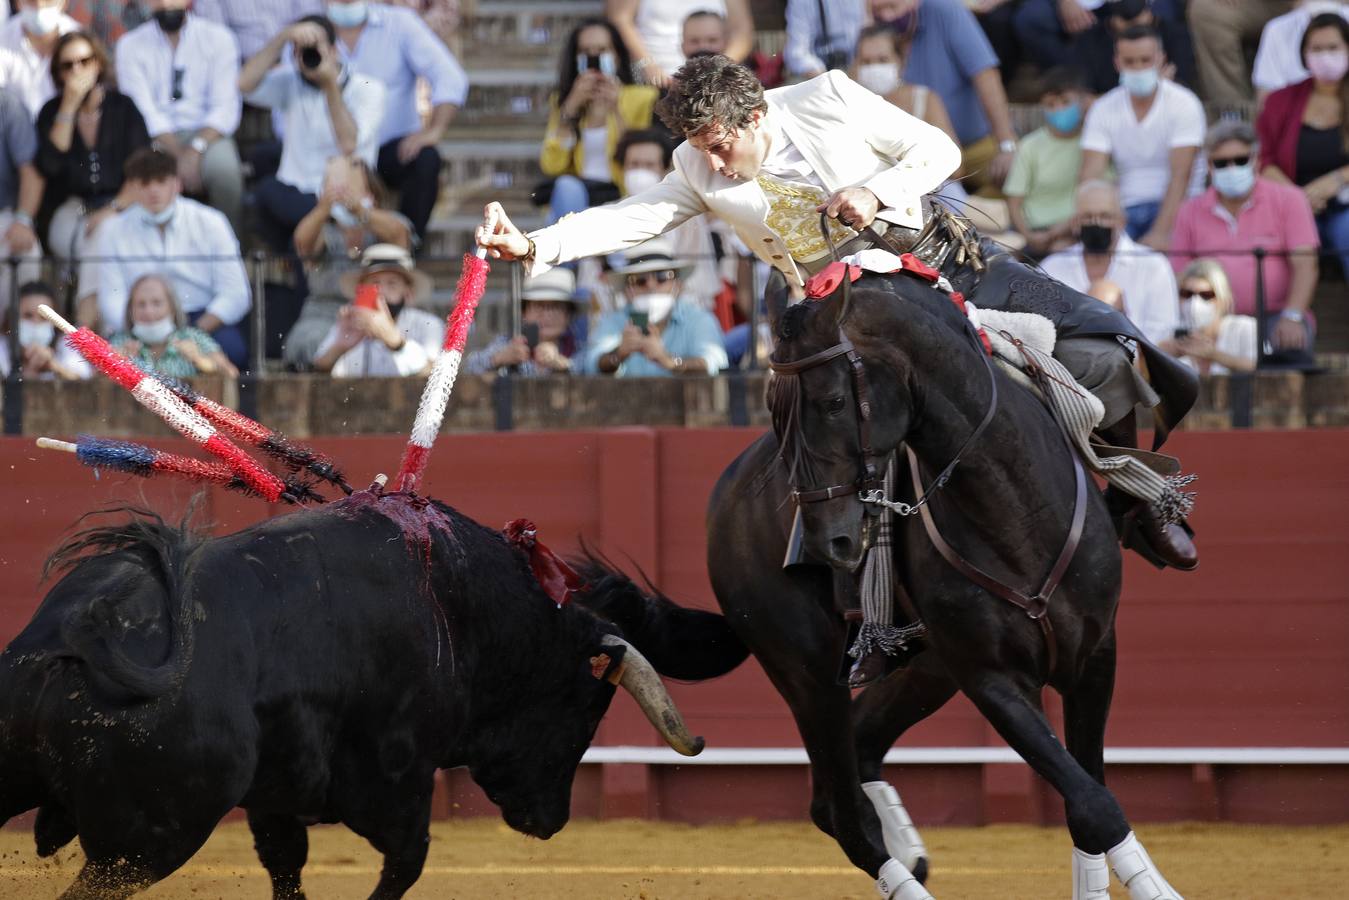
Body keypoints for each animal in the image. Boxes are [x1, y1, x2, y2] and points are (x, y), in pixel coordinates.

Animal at [0, 493, 739, 900]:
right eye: (586, 710)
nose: (550, 821)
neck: (465, 610)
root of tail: (77, 637)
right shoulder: (395, 784)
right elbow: (406, 864)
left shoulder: (276, 799)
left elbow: (287, 868)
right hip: (146, 844)